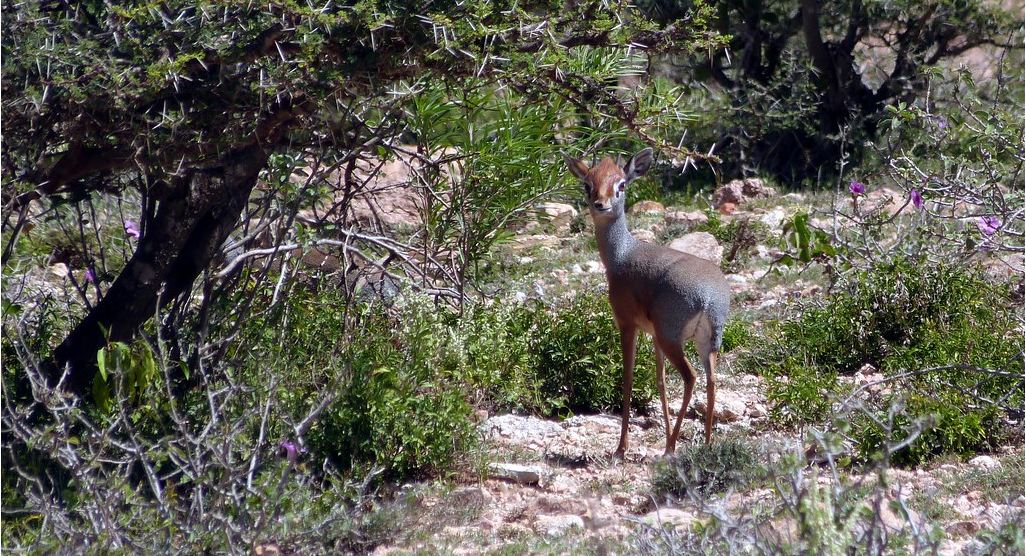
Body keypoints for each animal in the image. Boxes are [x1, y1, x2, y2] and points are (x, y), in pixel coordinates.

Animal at [566, 146, 734, 457]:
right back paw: (704, 444)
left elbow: (628, 378)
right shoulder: (653, 335)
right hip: (705, 342)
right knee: (711, 380)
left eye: (621, 184)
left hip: (674, 340)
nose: (600, 204)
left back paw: (671, 448)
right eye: (587, 184)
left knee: (691, 377)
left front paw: (621, 448)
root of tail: (709, 297)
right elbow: (660, 381)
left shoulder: (627, 324)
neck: (621, 256)